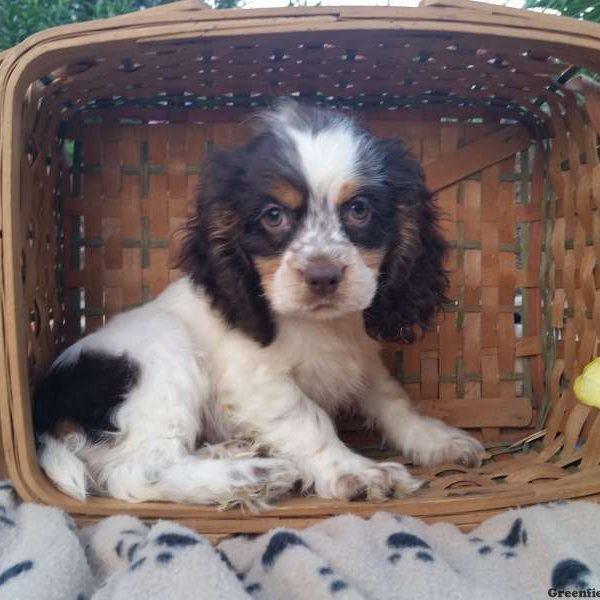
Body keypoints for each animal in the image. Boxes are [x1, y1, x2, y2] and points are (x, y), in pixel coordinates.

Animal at [32, 102, 482, 506]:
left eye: (359, 209)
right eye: (273, 216)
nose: (323, 277)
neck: (322, 326)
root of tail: (46, 407)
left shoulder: (361, 359)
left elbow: (392, 399)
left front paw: (436, 439)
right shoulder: (259, 380)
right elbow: (307, 420)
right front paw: (356, 472)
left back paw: (236, 450)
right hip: (165, 360)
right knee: (139, 473)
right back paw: (256, 475)